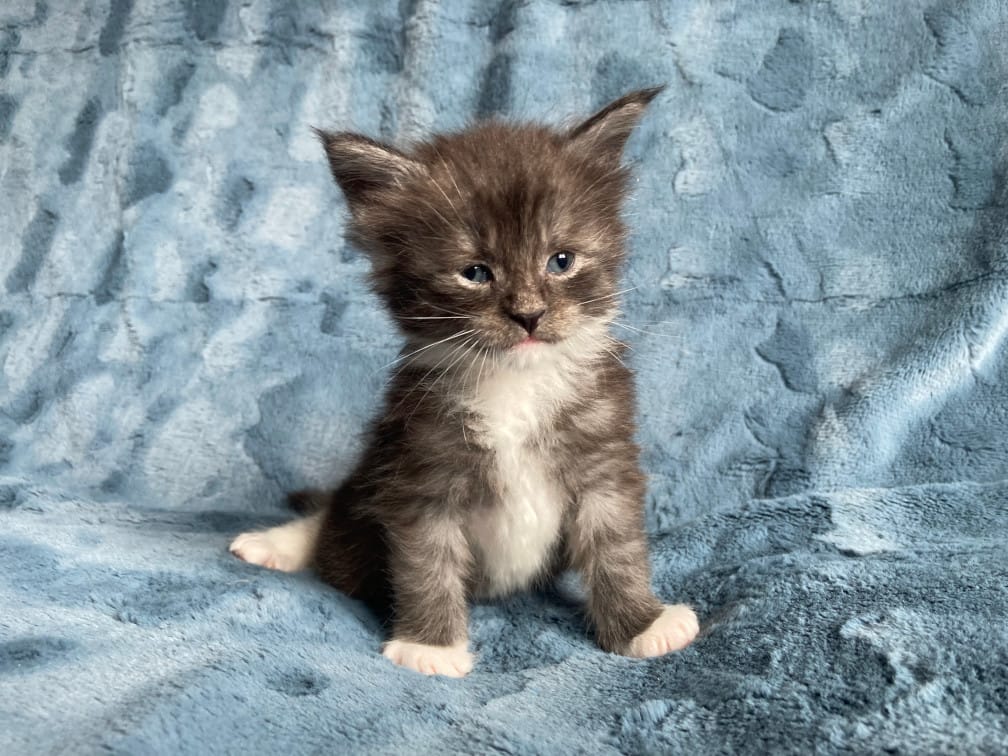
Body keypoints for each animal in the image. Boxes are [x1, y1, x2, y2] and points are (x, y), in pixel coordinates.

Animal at [230, 87, 699, 677]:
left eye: (561, 261)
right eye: (475, 273)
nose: (529, 315)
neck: (515, 384)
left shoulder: (605, 460)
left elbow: (617, 548)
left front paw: (643, 625)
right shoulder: (419, 468)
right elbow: (426, 562)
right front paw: (429, 647)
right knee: (338, 510)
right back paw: (276, 543)